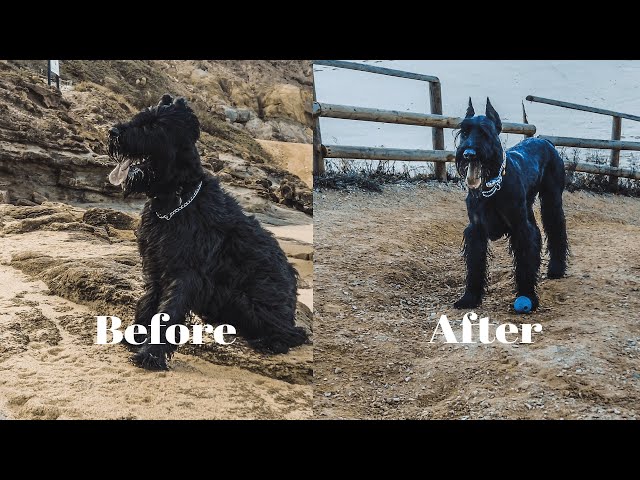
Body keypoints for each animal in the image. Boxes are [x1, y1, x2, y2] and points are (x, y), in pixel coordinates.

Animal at [107, 94, 308, 372]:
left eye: (154, 125)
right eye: (138, 117)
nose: (112, 132)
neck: (175, 200)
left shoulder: (186, 272)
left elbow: (168, 312)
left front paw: (151, 355)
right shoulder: (157, 265)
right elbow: (148, 304)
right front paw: (135, 339)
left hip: (244, 300)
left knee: (295, 334)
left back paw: (270, 340)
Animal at [452, 99, 568, 314]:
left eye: (485, 132)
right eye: (464, 131)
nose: (469, 153)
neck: (492, 185)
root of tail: (546, 141)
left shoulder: (519, 228)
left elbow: (523, 261)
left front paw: (528, 296)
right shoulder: (476, 230)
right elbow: (475, 265)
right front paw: (469, 298)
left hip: (551, 200)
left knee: (556, 230)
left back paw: (556, 269)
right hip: (528, 208)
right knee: (537, 234)